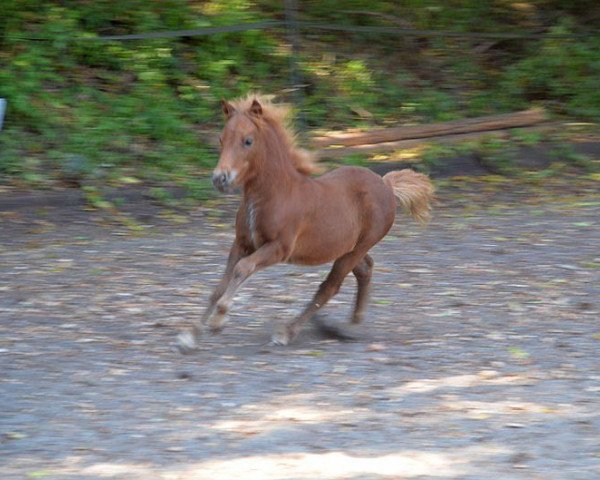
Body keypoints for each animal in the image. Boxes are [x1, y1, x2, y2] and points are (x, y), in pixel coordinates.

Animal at [176, 94, 434, 352]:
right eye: (221, 139)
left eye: (247, 141)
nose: (220, 178)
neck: (275, 194)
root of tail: (386, 184)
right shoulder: (241, 243)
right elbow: (219, 287)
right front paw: (190, 336)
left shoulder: (278, 248)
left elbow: (242, 269)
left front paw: (217, 322)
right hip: (347, 248)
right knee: (365, 269)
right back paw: (351, 325)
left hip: (358, 247)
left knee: (330, 286)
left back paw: (287, 332)